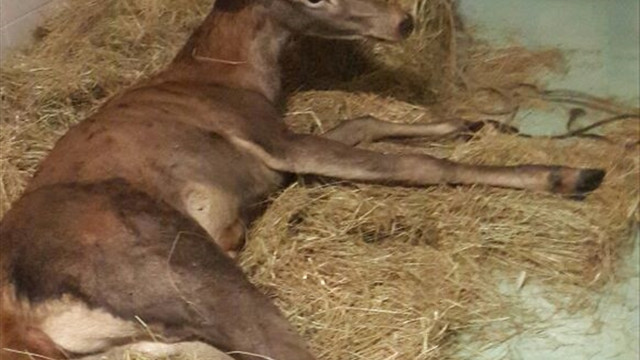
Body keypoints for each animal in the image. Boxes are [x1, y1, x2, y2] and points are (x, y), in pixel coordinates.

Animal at [0, 0, 604, 360]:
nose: (403, 20)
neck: (237, 77)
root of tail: (22, 318)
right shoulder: (270, 137)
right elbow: (420, 165)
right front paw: (566, 173)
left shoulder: (279, 149)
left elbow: (363, 121)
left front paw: (480, 122)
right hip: (174, 263)